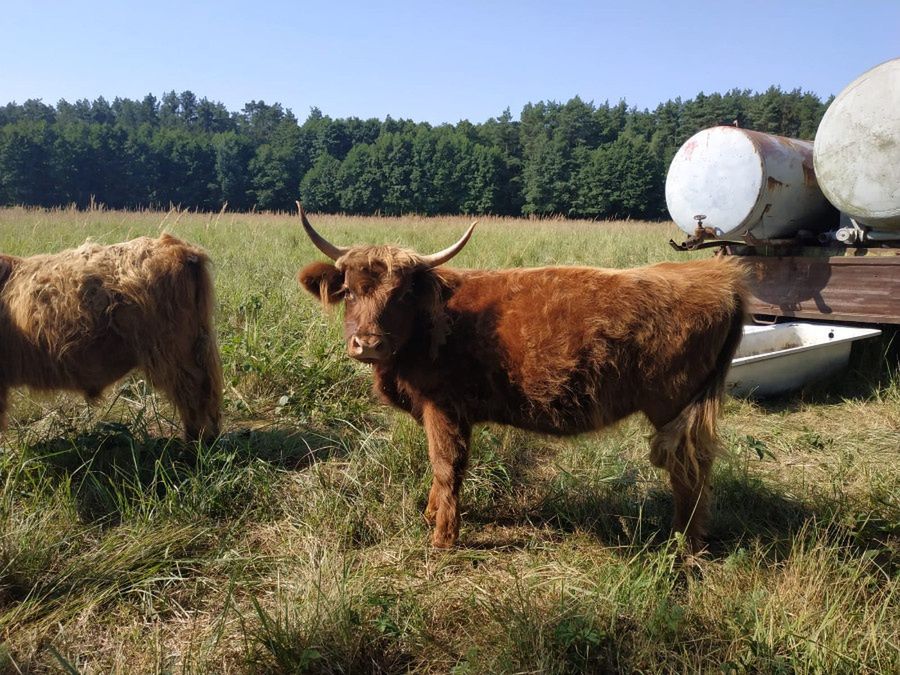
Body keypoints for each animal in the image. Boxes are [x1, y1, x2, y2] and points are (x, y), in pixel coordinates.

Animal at [296, 207, 744, 556]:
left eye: (403, 295)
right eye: (349, 291)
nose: (368, 343)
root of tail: (716, 275)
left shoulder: (443, 407)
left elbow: (445, 465)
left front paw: (442, 537)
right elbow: (445, 468)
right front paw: (431, 514)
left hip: (673, 407)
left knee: (689, 471)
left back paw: (684, 546)